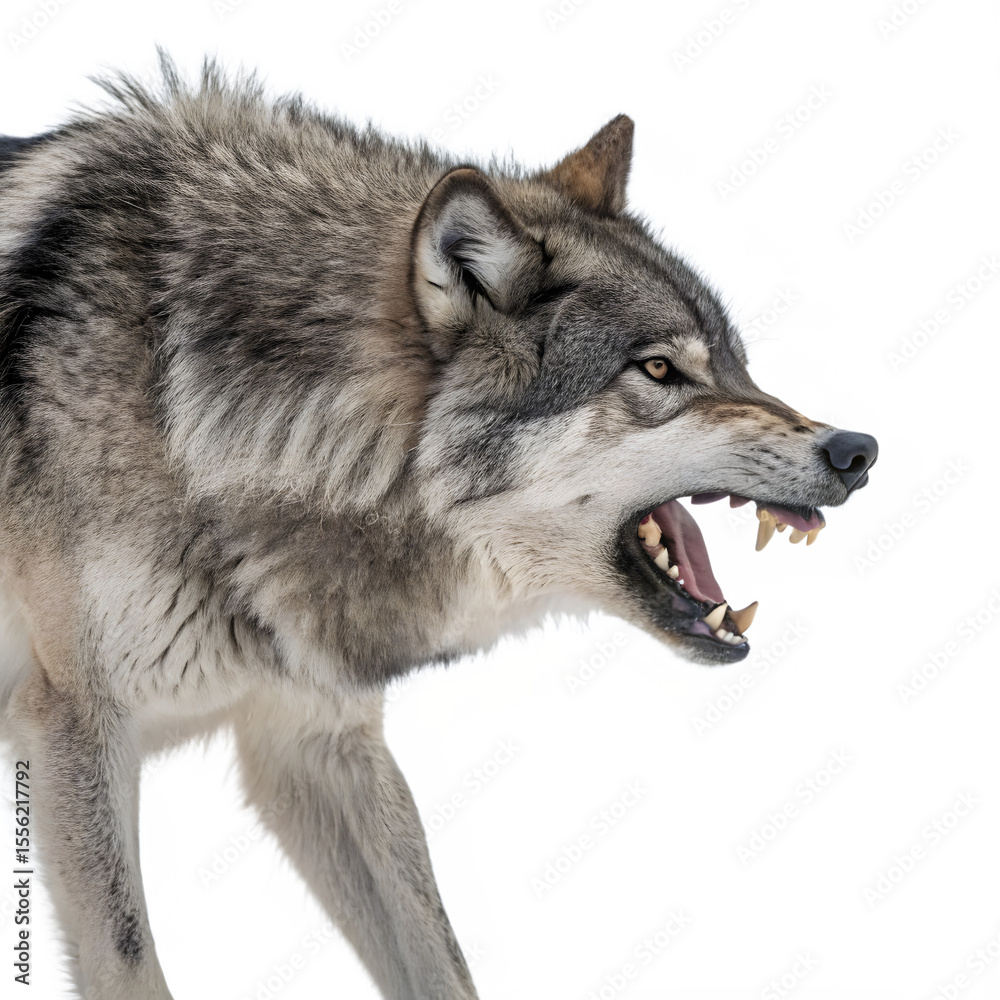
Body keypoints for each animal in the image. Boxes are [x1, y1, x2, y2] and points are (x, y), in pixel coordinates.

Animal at [0, 57, 877, 999]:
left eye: (740, 365)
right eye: (658, 370)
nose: (857, 451)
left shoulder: (316, 734)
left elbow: (439, 959)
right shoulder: (76, 725)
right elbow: (128, 960)